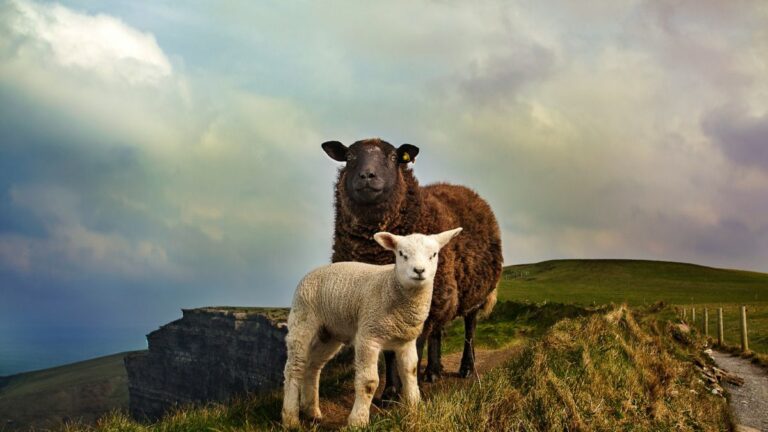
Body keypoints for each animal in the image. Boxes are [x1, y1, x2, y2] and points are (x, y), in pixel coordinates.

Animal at [281, 227, 463, 428]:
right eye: (402, 254)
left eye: (434, 254)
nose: (419, 270)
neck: (391, 287)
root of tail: (313, 271)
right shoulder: (368, 336)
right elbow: (369, 382)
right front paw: (358, 421)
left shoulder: (406, 340)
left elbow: (411, 372)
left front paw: (415, 409)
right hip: (302, 319)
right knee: (294, 368)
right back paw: (290, 419)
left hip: (329, 333)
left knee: (313, 366)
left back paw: (312, 411)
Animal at [321, 138, 503, 400]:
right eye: (349, 157)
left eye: (393, 157)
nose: (367, 175)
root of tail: (465, 189)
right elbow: (390, 353)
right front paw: (389, 393)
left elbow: (411, 350)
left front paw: (405, 393)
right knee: (438, 331)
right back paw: (433, 372)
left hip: (473, 292)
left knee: (470, 329)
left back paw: (466, 368)